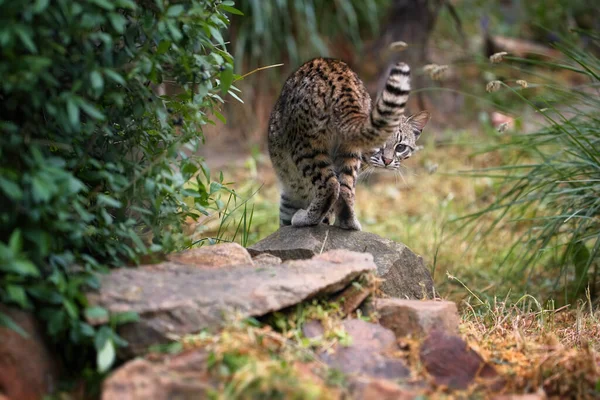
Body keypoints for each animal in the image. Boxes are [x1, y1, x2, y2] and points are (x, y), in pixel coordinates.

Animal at [268, 57, 432, 230]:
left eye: (400, 147)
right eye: (380, 144)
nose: (387, 161)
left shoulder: (290, 196)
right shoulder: (291, 194)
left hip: (308, 144)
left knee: (332, 186)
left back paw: (304, 219)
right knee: (344, 191)